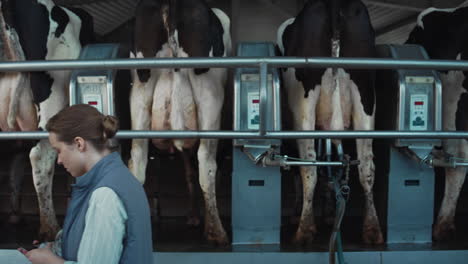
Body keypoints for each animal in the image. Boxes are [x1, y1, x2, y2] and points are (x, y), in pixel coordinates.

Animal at [129, 0, 231, 244]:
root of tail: (170, 4)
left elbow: (188, 172)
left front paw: (193, 216)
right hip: (210, 96)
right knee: (206, 161)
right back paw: (216, 232)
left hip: (140, 89)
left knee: (137, 158)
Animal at [276, 0, 382, 244]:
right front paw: (330, 211)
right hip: (365, 93)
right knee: (367, 166)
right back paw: (372, 229)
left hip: (304, 99)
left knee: (308, 166)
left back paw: (305, 229)